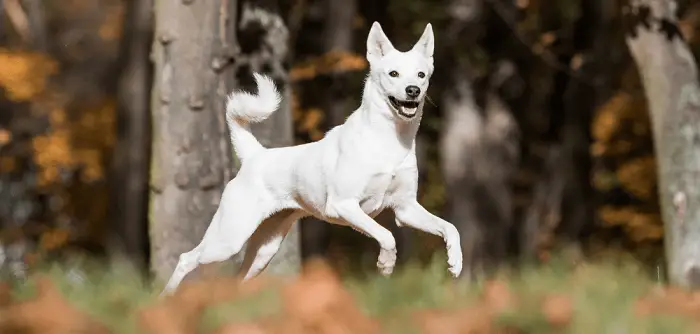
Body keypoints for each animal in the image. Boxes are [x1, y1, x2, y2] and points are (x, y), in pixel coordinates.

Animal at [161, 21, 462, 294]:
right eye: (393, 73)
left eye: (421, 74)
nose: (413, 90)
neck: (389, 141)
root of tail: (255, 155)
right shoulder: (344, 205)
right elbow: (386, 236)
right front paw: (386, 265)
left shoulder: (405, 209)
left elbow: (450, 228)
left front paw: (454, 262)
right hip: (228, 238)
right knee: (186, 259)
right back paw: (166, 298)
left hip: (264, 249)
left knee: (237, 277)